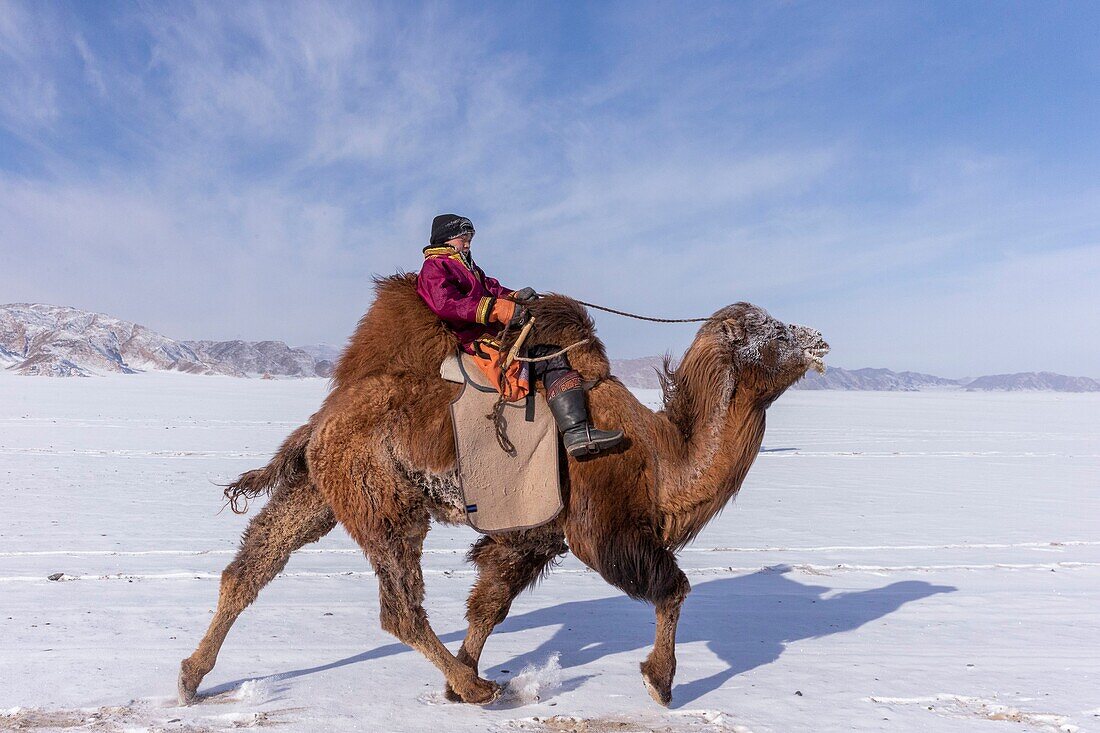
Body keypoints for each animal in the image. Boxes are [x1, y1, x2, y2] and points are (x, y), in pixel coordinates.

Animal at [178, 272, 827, 704]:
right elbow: (673, 587)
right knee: (398, 607)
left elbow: (490, 602)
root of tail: (322, 418)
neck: (662, 456)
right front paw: (661, 683)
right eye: (770, 331)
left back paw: (190, 678)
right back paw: (477, 688)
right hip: (383, 499)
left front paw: (458, 677)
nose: (818, 338)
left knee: (254, 563)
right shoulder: (600, 524)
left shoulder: (533, 535)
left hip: (323, 489)